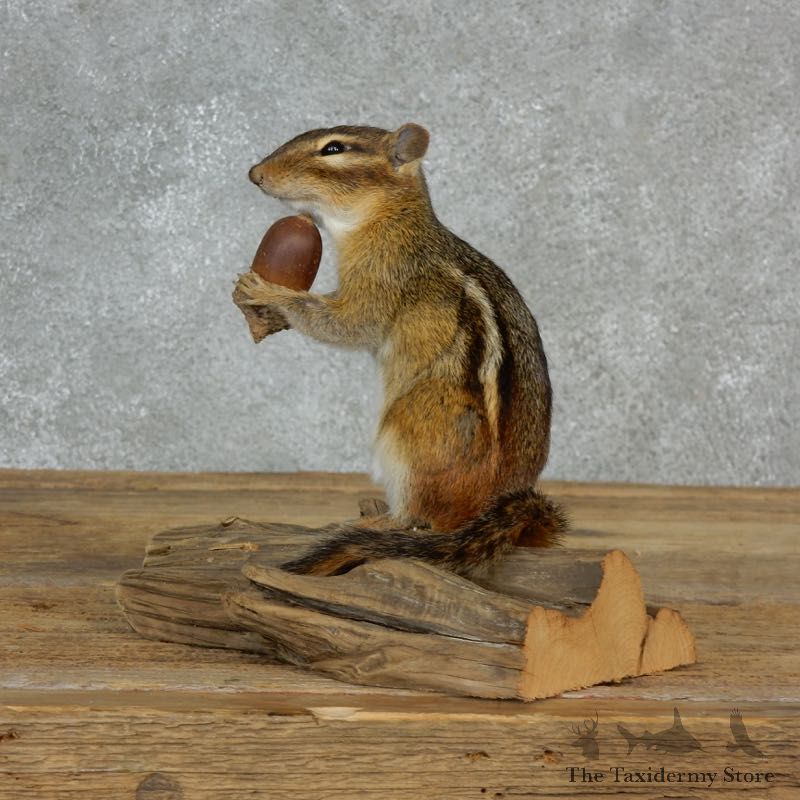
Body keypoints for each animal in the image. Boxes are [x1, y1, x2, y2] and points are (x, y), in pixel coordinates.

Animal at [235, 123, 567, 576]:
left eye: (333, 148)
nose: (255, 173)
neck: (393, 218)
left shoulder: (382, 276)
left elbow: (348, 324)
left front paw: (269, 291)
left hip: (404, 432)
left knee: (419, 519)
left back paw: (380, 520)